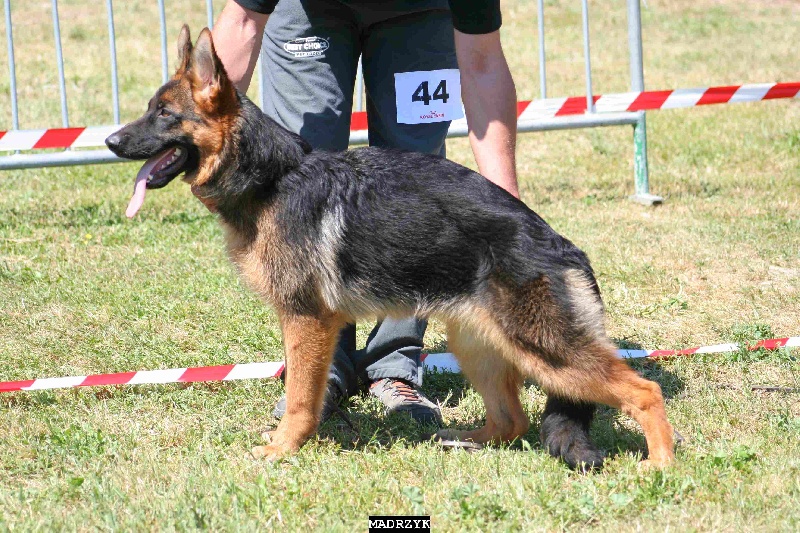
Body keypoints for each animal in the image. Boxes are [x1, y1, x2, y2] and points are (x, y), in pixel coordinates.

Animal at [103, 26, 672, 466]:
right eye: (149, 110)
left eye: (163, 114)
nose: (109, 142)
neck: (272, 178)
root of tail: (561, 244)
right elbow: (302, 389)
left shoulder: (307, 319)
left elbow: (300, 396)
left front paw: (283, 448)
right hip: (477, 344)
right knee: (512, 420)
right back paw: (461, 439)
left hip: (543, 348)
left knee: (644, 391)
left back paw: (660, 464)